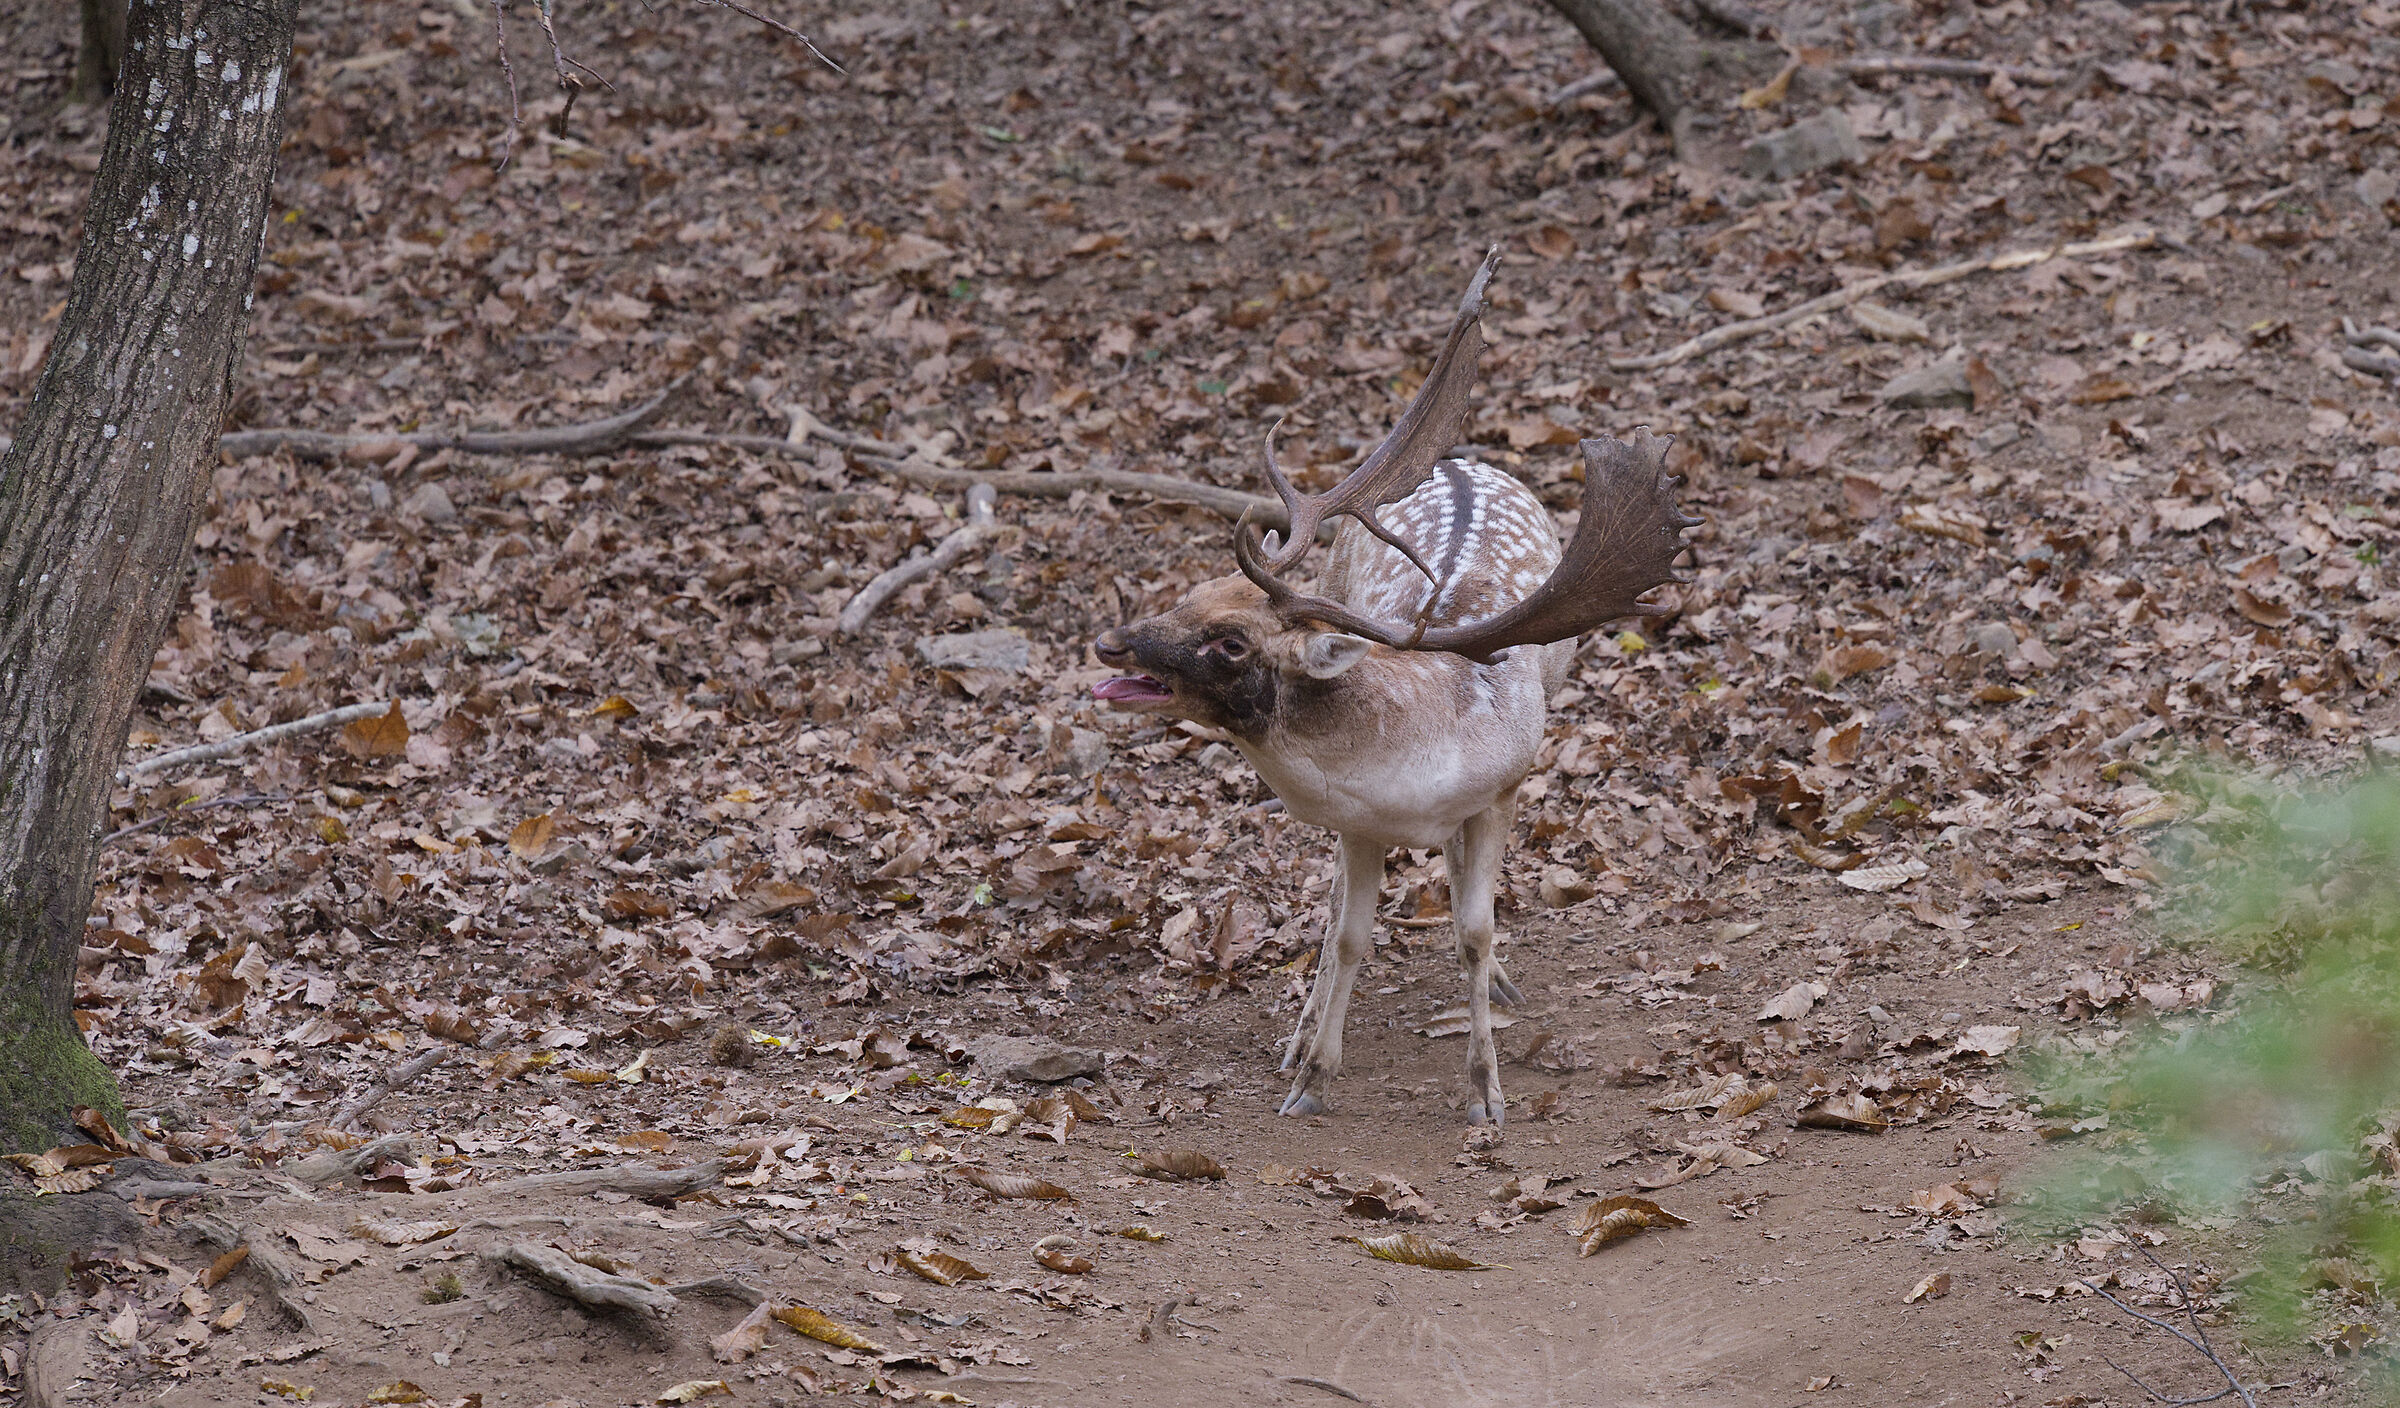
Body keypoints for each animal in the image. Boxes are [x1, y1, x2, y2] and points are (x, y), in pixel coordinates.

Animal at [1090, 248, 1699, 1125]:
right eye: (1190, 595)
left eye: (1232, 642)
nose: (1112, 643)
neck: (1415, 769)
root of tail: (1462, 458)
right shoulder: (1358, 826)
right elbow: (1348, 932)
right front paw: (1311, 1073)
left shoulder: (1500, 790)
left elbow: (1475, 930)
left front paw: (1486, 1092)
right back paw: (1299, 1036)